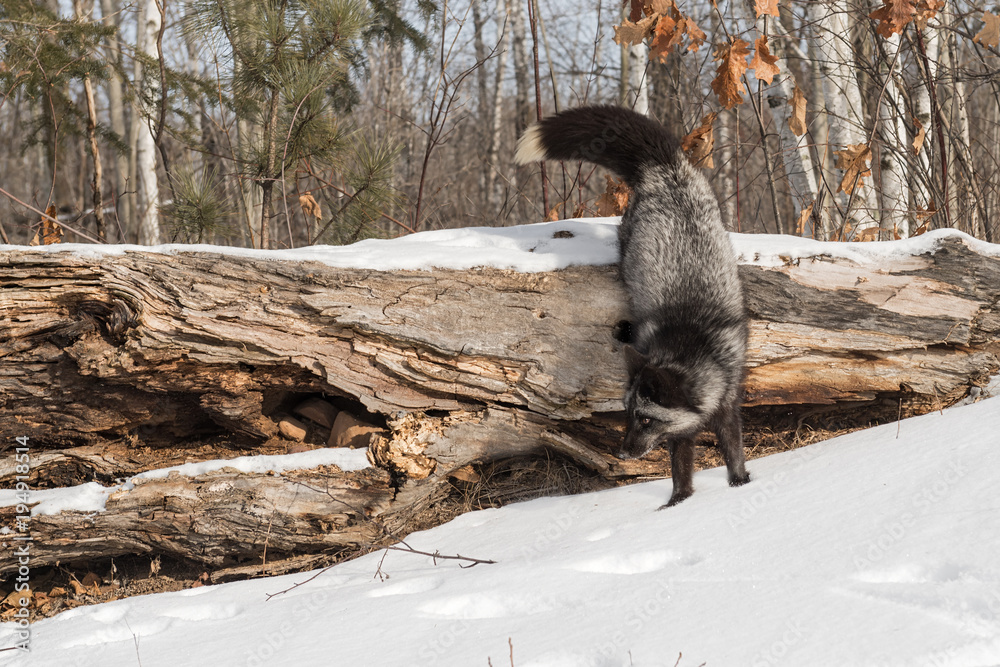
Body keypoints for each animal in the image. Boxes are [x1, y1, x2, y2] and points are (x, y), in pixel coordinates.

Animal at [514, 105, 750, 508]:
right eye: (628, 414)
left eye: (647, 419)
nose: (622, 453)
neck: (690, 343)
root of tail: (667, 168)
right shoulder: (681, 430)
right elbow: (681, 471)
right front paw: (676, 505)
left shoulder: (726, 401)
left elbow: (732, 450)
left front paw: (740, 484)